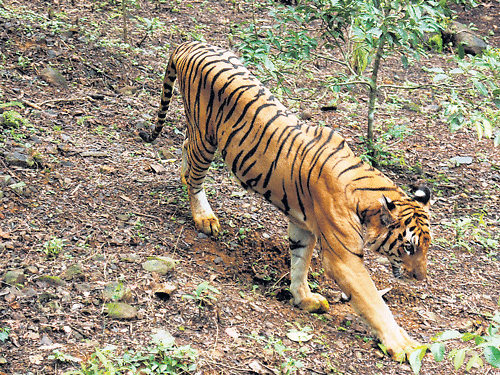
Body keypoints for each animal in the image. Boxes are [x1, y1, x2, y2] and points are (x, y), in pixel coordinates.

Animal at [139, 41, 432, 362]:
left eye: (426, 247)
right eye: (408, 246)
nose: (419, 277)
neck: (366, 199)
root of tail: (190, 43)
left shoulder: (304, 226)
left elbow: (299, 262)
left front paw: (303, 299)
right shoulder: (343, 258)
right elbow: (373, 301)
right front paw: (404, 345)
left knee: (184, 147)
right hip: (206, 137)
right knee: (194, 171)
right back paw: (204, 217)